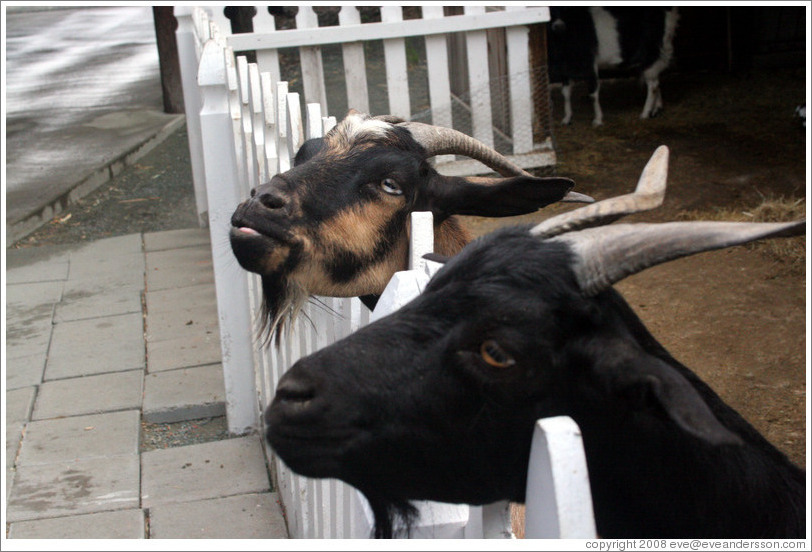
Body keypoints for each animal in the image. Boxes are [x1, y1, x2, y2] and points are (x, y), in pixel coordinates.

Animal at [548, 7, 679, 126]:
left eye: (566, 9)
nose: (558, 26)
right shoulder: (565, 68)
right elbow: (565, 93)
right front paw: (566, 118)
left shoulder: (590, 64)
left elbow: (593, 93)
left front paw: (598, 120)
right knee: (656, 80)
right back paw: (656, 109)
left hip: (651, 54)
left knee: (653, 85)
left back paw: (645, 113)